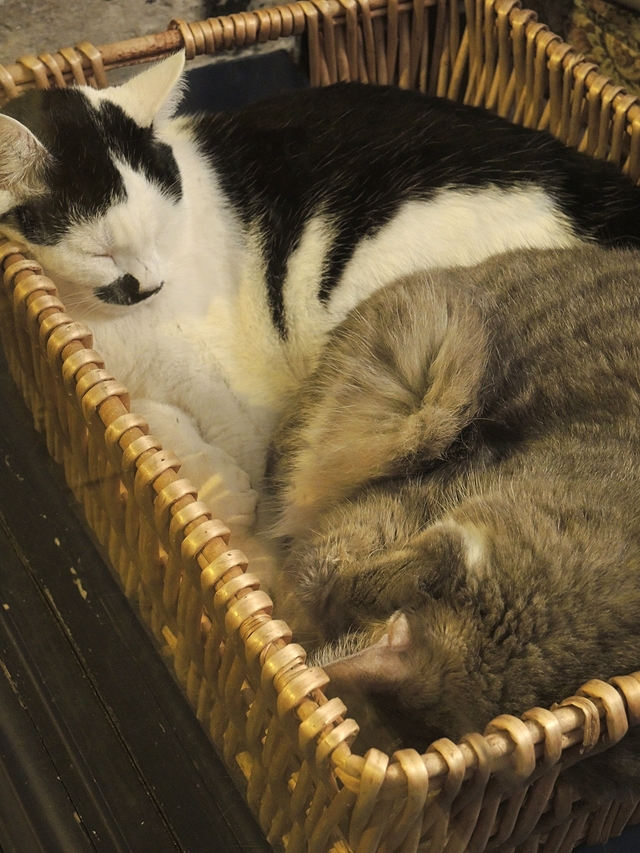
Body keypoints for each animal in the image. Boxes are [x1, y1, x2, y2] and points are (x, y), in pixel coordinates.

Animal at [1, 50, 640, 552]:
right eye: (102, 251)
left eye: (160, 230)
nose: (150, 284)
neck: (99, 318)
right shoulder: (118, 377)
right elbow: (146, 426)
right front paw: (208, 482)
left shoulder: (234, 382)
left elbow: (238, 438)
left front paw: (237, 520)